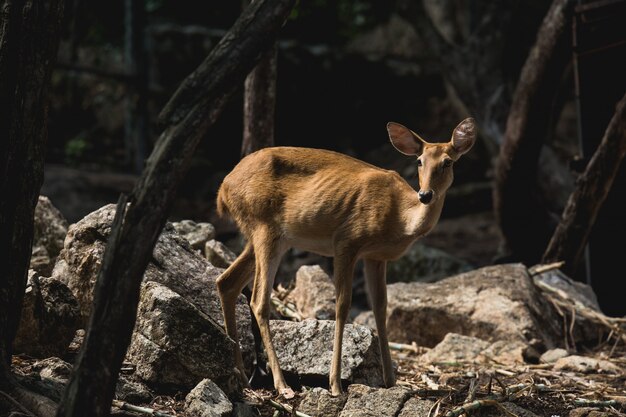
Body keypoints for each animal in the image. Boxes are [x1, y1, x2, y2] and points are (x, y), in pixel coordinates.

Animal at [214, 116, 472, 396]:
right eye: (419, 161)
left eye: (448, 162)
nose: (425, 195)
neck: (400, 218)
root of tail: (223, 189)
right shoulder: (346, 242)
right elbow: (342, 305)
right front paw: (335, 384)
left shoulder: (376, 257)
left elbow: (380, 307)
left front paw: (392, 381)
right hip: (264, 228)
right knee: (258, 301)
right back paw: (282, 385)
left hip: (269, 237)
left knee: (226, 282)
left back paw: (240, 374)